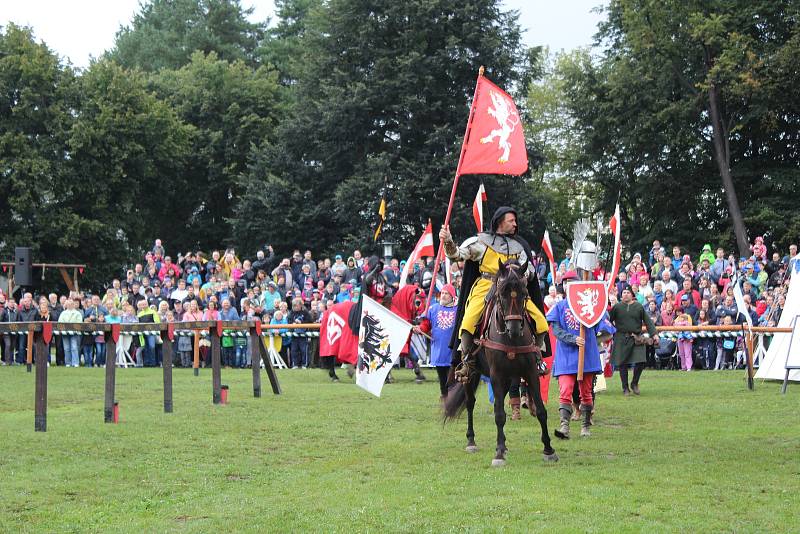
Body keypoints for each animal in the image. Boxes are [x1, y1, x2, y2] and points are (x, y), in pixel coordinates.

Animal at [444, 262, 556, 466]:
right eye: (502, 294)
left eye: (524, 294)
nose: (514, 329)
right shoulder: (496, 375)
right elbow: (499, 414)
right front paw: (499, 453)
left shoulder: (530, 373)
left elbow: (541, 411)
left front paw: (548, 449)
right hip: (472, 374)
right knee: (470, 403)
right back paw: (471, 441)